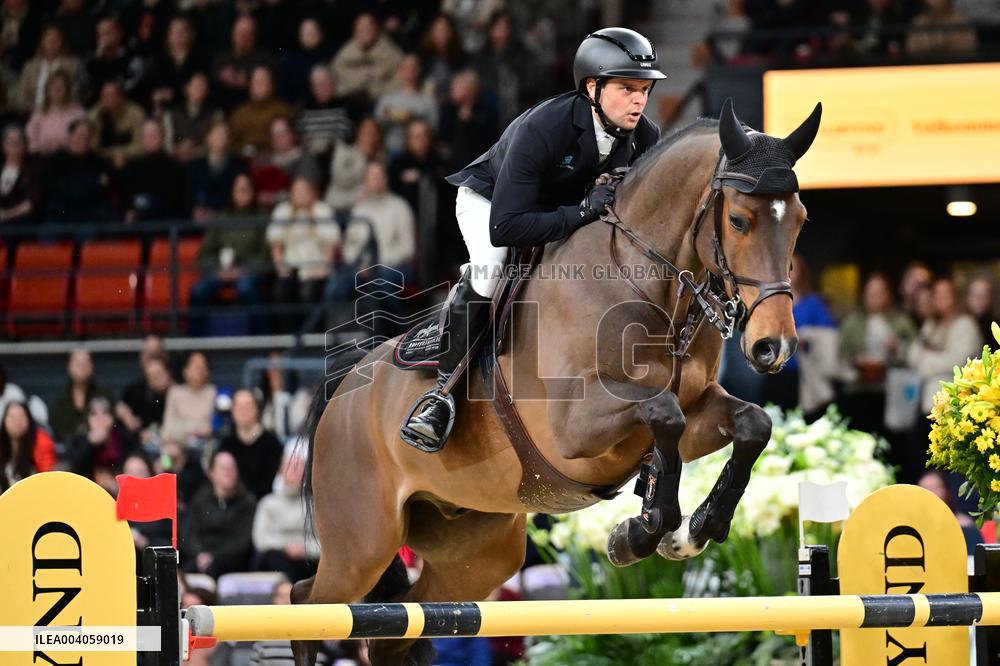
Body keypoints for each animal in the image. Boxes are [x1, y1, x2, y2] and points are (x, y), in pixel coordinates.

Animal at [293, 99, 823, 666]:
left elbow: (752, 423)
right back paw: (428, 421)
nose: (773, 347)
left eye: (800, 221)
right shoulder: (575, 428)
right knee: (308, 602)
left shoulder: (699, 408)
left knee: (396, 626)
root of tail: (342, 391)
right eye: (740, 220)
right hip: (363, 542)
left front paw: (692, 531)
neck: (646, 282)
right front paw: (645, 529)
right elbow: (663, 412)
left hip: (477, 551)